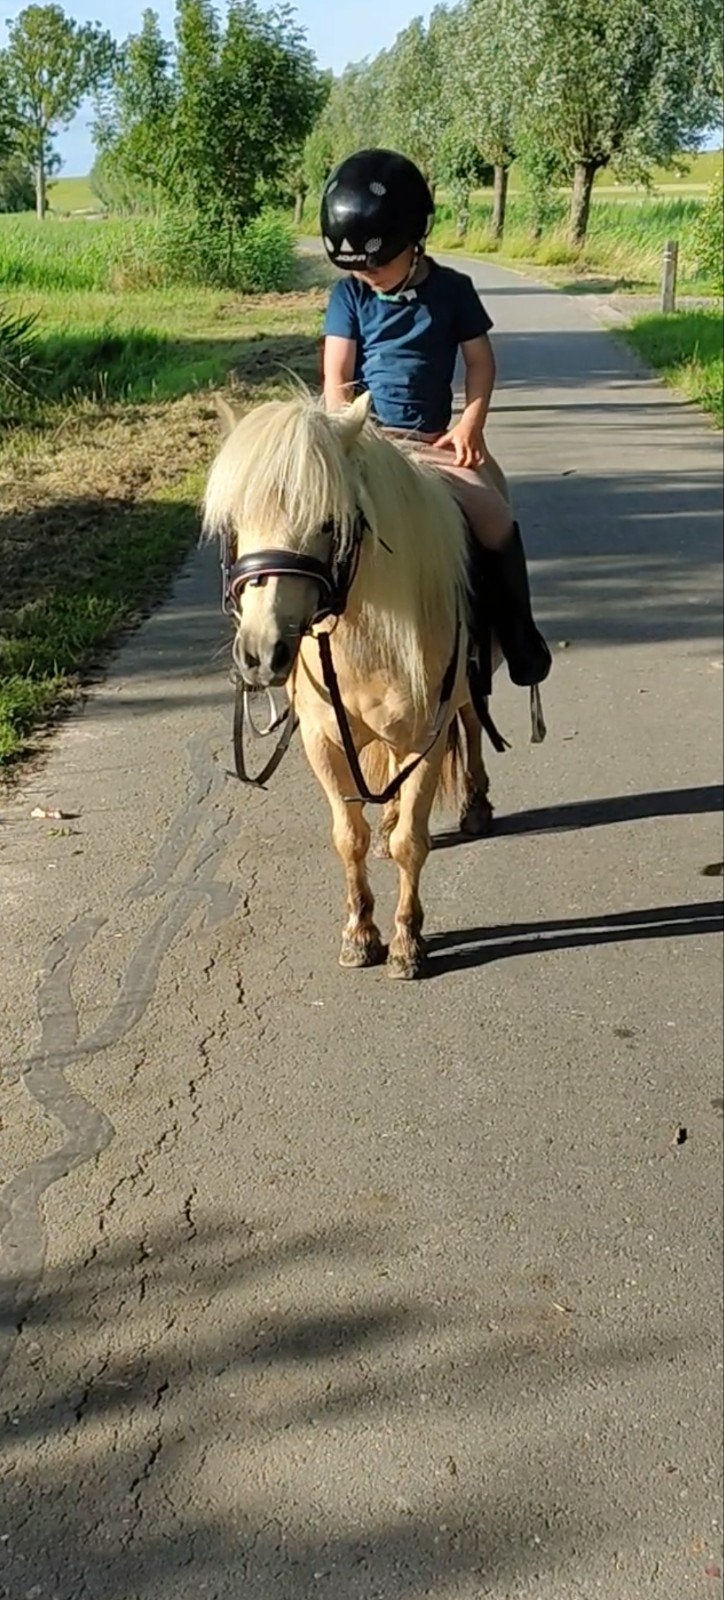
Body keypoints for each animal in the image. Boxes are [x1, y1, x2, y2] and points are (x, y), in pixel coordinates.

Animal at [203, 389, 500, 979]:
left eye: (327, 524)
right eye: (236, 524)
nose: (260, 654)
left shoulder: (425, 738)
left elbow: (413, 841)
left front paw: (407, 941)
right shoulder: (323, 742)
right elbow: (349, 837)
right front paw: (360, 933)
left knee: (473, 723)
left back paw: (476, 805)